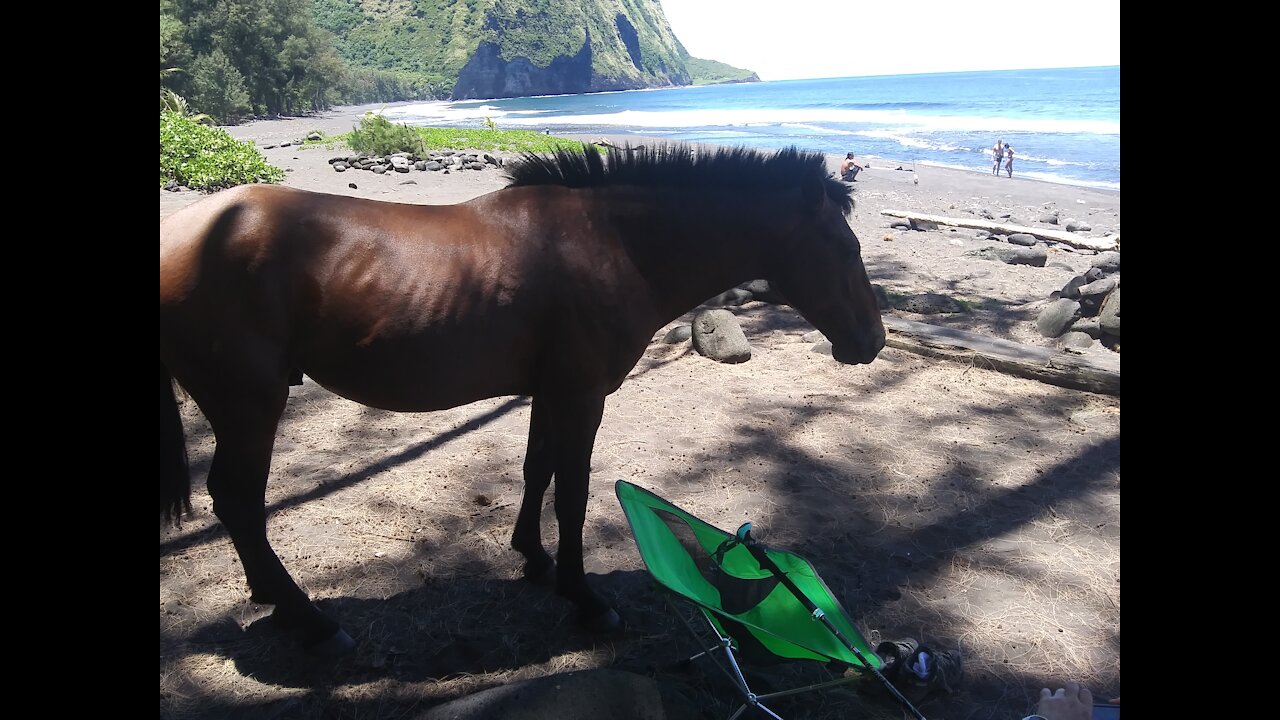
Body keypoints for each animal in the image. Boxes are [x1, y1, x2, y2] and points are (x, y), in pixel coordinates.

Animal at [160, 142, 885, 653]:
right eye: (847, 248)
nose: (872, 341)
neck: (613, 243)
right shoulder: (582, 393)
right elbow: (572, 491)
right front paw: (584, 598)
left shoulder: (548, 390)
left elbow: (538, 471)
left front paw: (533, 559)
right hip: (249, 406)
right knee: (239, 501)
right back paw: (307, 619)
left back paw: (272, 597)